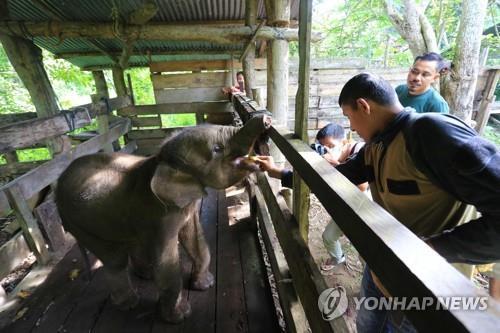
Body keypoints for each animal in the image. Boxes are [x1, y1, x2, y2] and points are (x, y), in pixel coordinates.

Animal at [55, 114, 270, 322]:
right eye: (217, 149)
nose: (266, 119)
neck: (161, 161)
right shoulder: (157, 214)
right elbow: (167, 261)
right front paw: (179, 316)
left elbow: (195, 237)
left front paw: (206, 284)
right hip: (78, 221)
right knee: (115, 260)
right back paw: (128, 304)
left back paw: (146, 276)